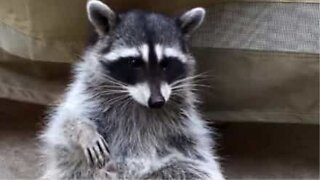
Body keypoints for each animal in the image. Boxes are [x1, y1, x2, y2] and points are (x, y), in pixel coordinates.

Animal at [39, 0, 225, 179]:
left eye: (166, 63)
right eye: (134, 63)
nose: (157, 102)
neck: (137, 101)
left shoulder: (183, 115)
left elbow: (196, 146)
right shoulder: (88, 92)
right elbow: (65, 121)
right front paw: (84, 132)